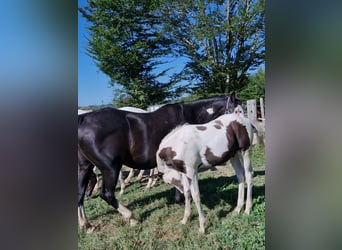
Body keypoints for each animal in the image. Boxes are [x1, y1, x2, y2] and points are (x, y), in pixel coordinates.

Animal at [79, 92, 242, 230]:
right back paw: (131, 217)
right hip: (110, 168)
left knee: (80, 193)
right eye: (237, 110)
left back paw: (86, 224)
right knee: (107, 194)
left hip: (85, 166)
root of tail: (83, 120)